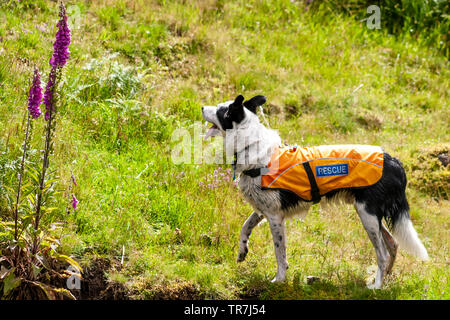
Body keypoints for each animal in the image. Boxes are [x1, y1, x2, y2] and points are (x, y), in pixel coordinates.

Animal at [203, 94, 428, 288]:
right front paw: (242, 251)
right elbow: (245, 227)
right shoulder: (263, 210)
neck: (251, 147)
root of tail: (394, 162)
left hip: (368, 215)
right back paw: (385, 277)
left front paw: (279, 279)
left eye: (221, 110)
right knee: (393, 245)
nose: (202, 107)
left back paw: (377, 286)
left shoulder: (275, 217)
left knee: (382, 253)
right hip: (372, 215)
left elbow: (279, 253)